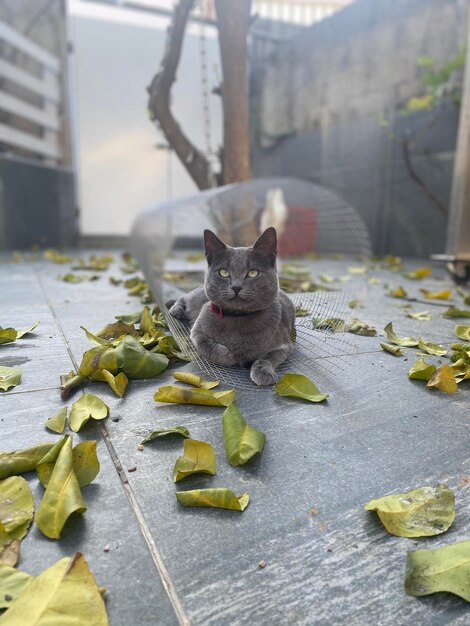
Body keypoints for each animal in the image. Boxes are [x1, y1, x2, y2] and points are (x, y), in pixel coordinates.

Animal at [168, 227, 294, 382]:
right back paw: (176, 309)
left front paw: (263, 372)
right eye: (223, 272)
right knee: (184, 296)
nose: (236, 287)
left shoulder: (284, 345)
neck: (237, 318)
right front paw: (232, 355)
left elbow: (268, 357)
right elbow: (209, 347)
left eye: (253, 273)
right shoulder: (196, 332)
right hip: (196, 297)